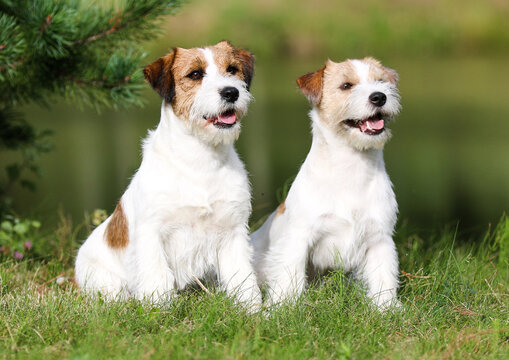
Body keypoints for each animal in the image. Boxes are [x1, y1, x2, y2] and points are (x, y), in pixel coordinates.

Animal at [75, 40, 262, 310]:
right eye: (195, 74)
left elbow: (242, 276)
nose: (231, 92)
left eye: (232, 69)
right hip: (104, 282)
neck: (200, 160)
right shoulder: (153, 233)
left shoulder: (232, 231)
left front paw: (253, 310)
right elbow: (157, 276)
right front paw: (158, 310)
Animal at [250, 57, 400, 310]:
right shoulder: (299, 237)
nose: (379, 96)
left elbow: (383, 276)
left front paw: (387, 308)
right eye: (346, 86)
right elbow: (290, 276)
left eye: (380, 81)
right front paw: (282, 307)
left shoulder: (379, 238)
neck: (352, 168)